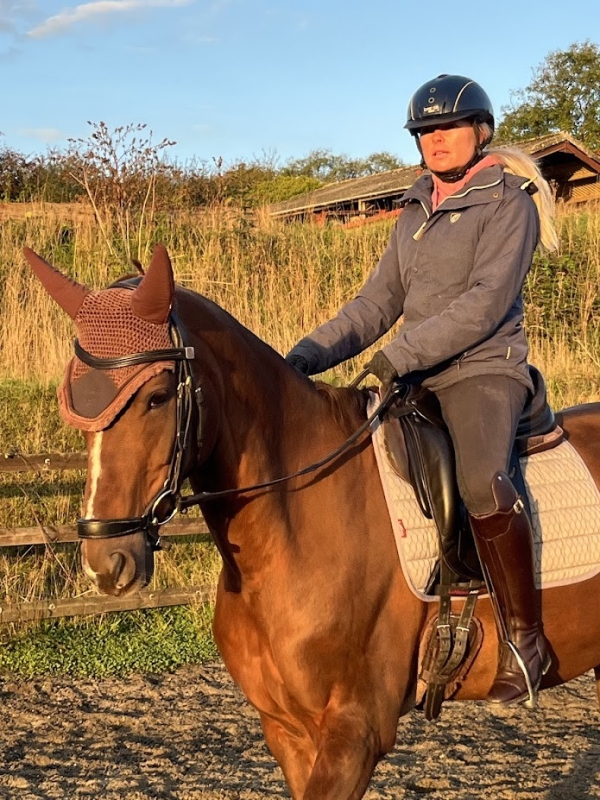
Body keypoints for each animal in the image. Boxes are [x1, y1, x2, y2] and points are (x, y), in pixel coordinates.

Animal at [23, 243, 600, 800]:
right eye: (78, 405)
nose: (105, 561)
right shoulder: (288, 730)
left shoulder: (354, 733)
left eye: (157, 396)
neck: (291, 533)